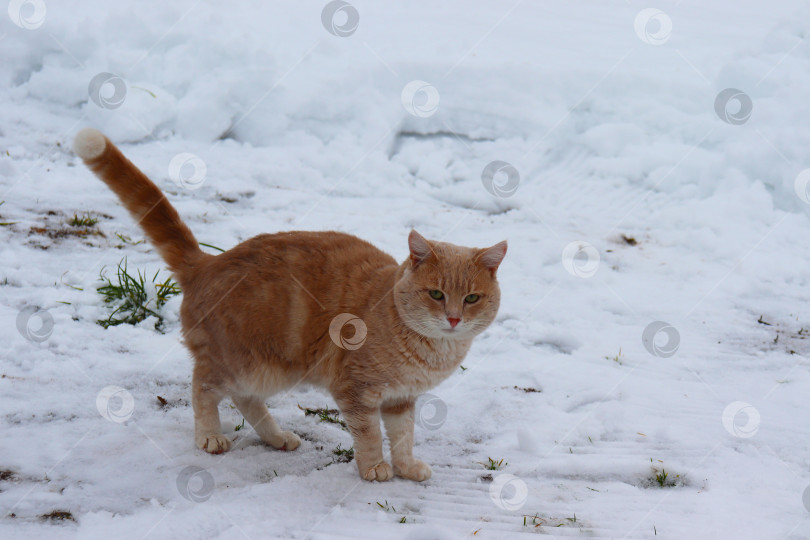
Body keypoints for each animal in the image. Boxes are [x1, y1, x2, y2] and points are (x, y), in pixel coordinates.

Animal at [74, 129, 504, 484]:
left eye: (471, 298)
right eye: (436, 294)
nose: (453, 318)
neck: (429, 348)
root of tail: (208, 262)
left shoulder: (401, 399)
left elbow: (403, 436)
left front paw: (407, 468)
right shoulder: (356, 392)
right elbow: (369, 435)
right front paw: (374, 468)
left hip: (269, 371)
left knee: (245, 399)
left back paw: (277, 437)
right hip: (247, 363)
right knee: (203, 385)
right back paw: (210, 435)